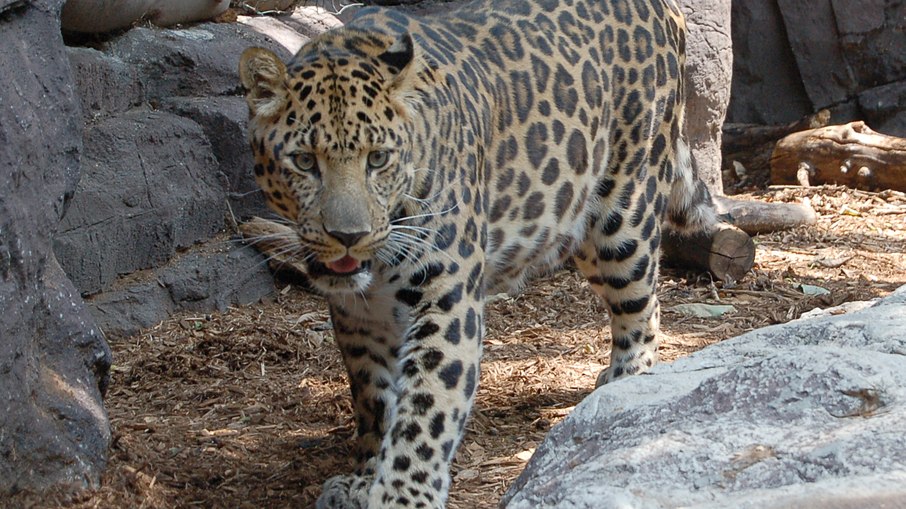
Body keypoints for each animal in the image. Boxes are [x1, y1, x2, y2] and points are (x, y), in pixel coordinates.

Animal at [238, 0, 717, 506]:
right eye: (304, 161)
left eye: (378, 159)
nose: (349, 236)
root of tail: (667, 10)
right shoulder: (359, 315)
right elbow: (374, 396)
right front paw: (364, 478)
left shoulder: (447, 292)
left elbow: (429, 402)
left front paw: (404, 494)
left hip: (623, 211)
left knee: (643, 304)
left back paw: (625, 386)